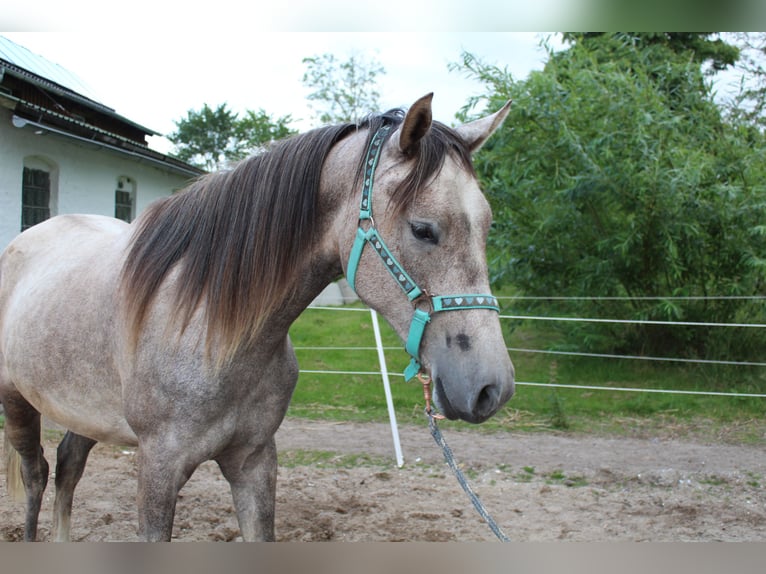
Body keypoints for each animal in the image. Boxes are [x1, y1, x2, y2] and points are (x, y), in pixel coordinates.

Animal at [0, 93, 514, 541]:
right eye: (423, 229)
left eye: (488, 225)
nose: (493, 387)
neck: (211, 329)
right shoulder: (157, 468)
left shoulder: (254, 462)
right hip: (16, 399)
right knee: (37, 473)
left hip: (84, 411)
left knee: (68, 467)